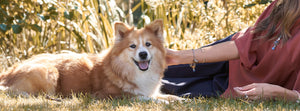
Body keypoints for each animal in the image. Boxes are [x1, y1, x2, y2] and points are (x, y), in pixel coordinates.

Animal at [0, 19, 183, 102]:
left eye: (148, 44)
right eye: (132, 46)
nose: (143, 54)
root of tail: (7, 73)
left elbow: (168, 96)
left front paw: (182, 100)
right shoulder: (109, 95)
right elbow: (143, 97)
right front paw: (162, 102)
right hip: (48, 72)